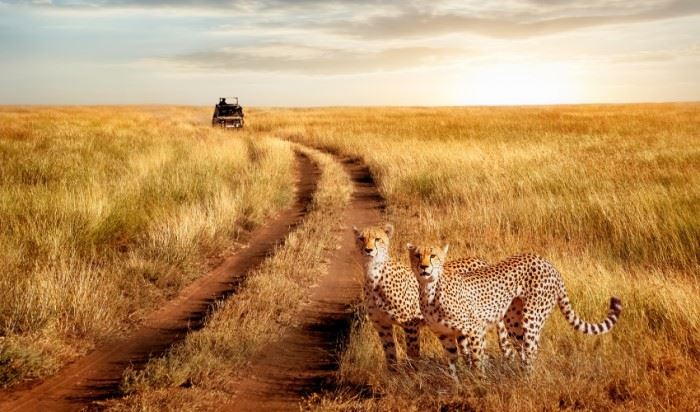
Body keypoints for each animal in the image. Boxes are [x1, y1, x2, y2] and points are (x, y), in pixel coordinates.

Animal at [356, 224, 520, 368]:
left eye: (377, 239)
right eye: (361, 238)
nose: (368, 250)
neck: (373, 274)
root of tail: (479, 260)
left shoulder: (410, 324)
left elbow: (413, 353)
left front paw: (413, 374)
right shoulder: (382, 325)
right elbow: (390, 354)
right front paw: (394, 376)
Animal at [408, 243, 620, 374]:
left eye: (433, 255)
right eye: (417, 255)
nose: (424, 267)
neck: (430, 290)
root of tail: (548, 263)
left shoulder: (475, 330)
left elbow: (477, 361)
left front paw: (479, 384)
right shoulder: (444, 335)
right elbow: (453, 364)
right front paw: (457, 385)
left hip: (531, 317)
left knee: (532, 350)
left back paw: (527, 381)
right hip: (512, 321)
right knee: (522, 349)